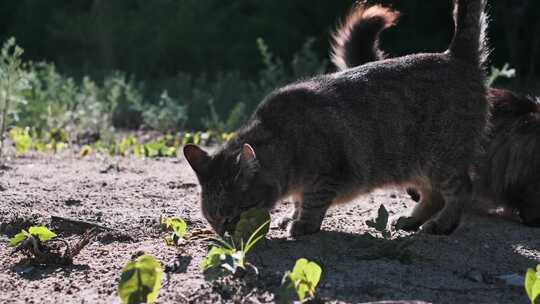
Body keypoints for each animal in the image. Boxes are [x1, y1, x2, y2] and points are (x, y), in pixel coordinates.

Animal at [185, 0, 490, 238]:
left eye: (232, 216)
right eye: (212, 220)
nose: (224, 235)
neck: (283, 138)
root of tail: (455, 55)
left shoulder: (327, 173)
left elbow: (313, 201)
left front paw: (303, 224)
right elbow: (299, 201)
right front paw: (292, 215)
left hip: (440, 159)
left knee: (463, 188)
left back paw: (442, 224)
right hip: (417, 166)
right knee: (433, 195)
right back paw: (412, 219)